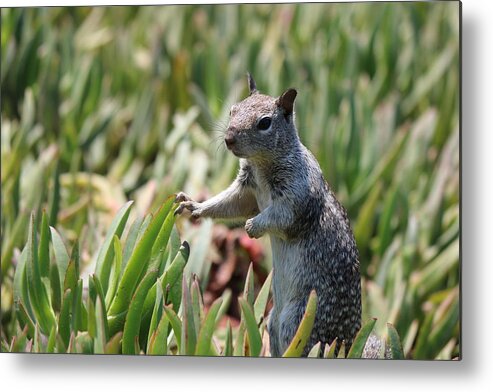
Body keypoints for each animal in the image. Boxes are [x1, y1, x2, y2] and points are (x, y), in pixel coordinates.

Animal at [173, 74, 362, 358]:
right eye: (233, 110)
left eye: (264, 123)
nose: (228, 138)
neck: (262, 165)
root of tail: (349, 344)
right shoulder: (246, 191)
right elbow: (230, 204)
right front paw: (196, 206)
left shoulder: (296, 195)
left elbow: (281, 217)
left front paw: (253, 226)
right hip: (274, 321)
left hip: (300, 320)